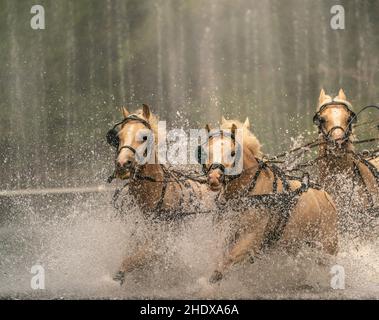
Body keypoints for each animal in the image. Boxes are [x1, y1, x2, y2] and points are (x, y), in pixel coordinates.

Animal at [107, 104, 215, 284]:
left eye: (144, 137)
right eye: (119, 136)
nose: (122, 164)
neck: (156, 193)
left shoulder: (164, 241)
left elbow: (141, 257)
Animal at [202, 117, 338, 282]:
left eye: (233, 153)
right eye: (206, 151)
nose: (214, 178)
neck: (250, 192)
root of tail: (327, 196)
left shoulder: (252, 237)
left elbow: (228, 259)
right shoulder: (231, 234)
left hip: (327, 246)